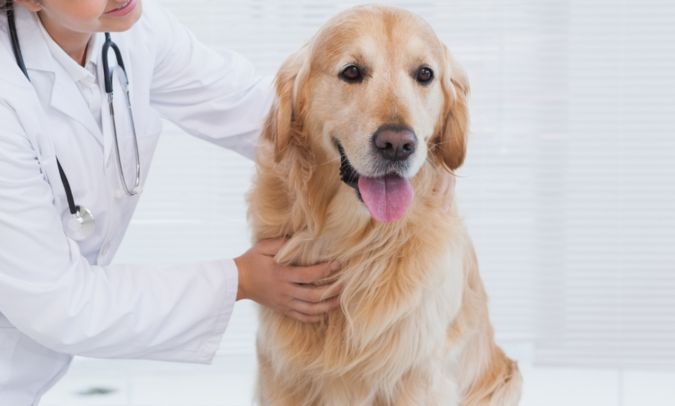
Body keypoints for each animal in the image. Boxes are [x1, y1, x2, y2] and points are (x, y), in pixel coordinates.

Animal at [248, 6, 524, 406]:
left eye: (425, 74)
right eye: (352, 72)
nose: (397, 144)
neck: (356, 244)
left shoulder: (417, 376)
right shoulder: (282, 375)